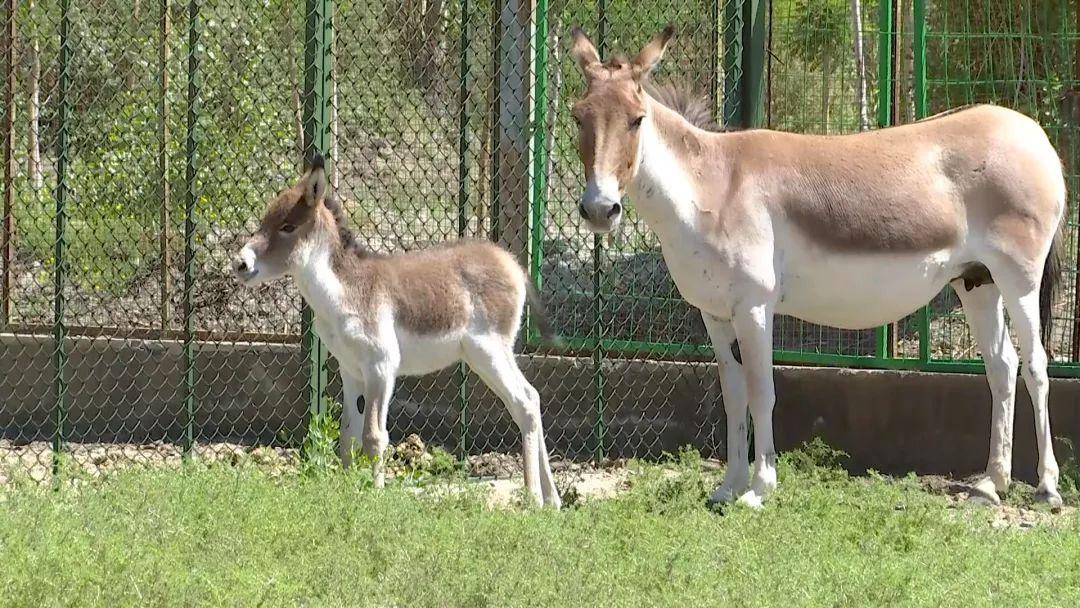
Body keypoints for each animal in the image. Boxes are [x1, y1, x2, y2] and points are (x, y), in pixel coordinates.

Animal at [233, 156, 561, 509]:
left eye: (287, 227)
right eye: (265, 220)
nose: (239, 264)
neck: (346, 290)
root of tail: (512, 263)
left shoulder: (381, 367)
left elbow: (374, 435)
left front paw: (375, 495)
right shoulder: (351, 371)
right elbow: (348, 436)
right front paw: (347, 490)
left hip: (489, 352)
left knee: (524, 403)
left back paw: (532, 498)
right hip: (486, 356)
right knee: (531, 399)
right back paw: (553, 499)